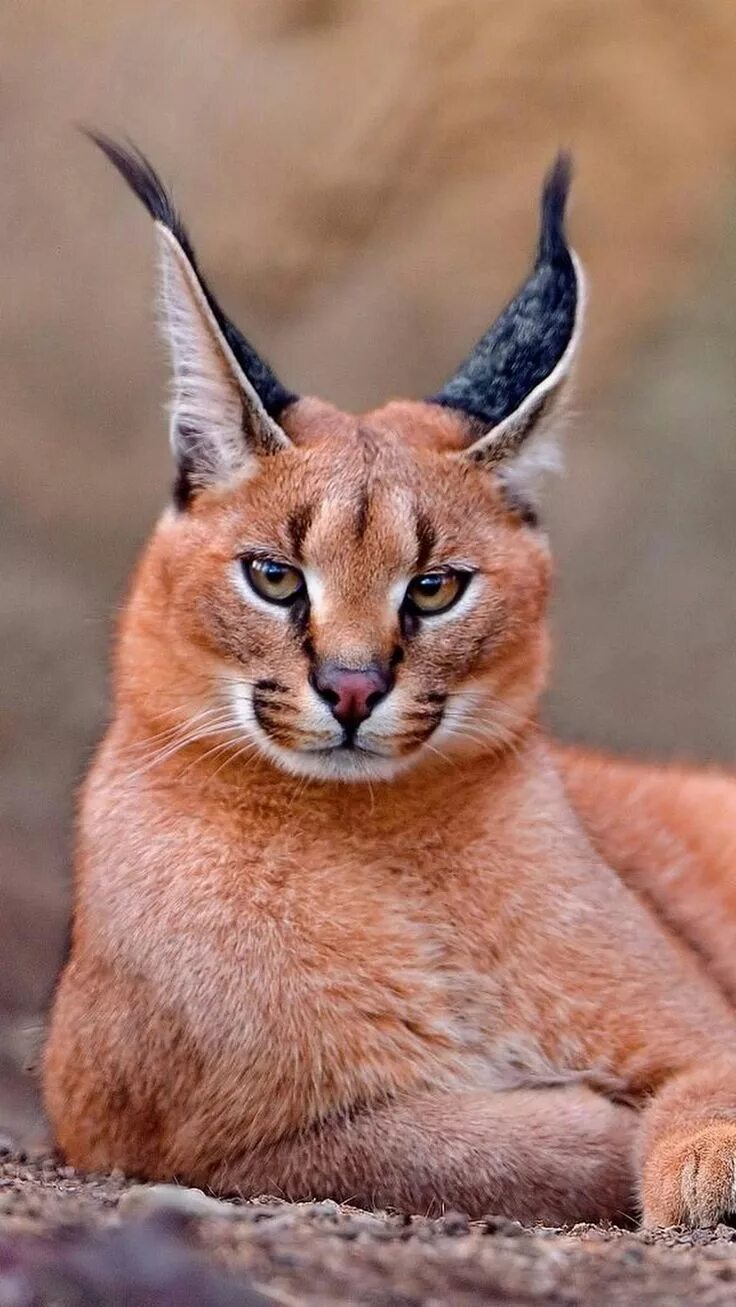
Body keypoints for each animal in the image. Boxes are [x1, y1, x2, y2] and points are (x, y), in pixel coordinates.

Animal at [43, 137, 736, 1228]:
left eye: (436, 586)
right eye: (274, 576)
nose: (354, 687)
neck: (375, 837)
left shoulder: (702, 1029)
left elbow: (697, 1082)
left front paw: (701, 1155)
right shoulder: (218, 1142)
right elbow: (456, 1146)